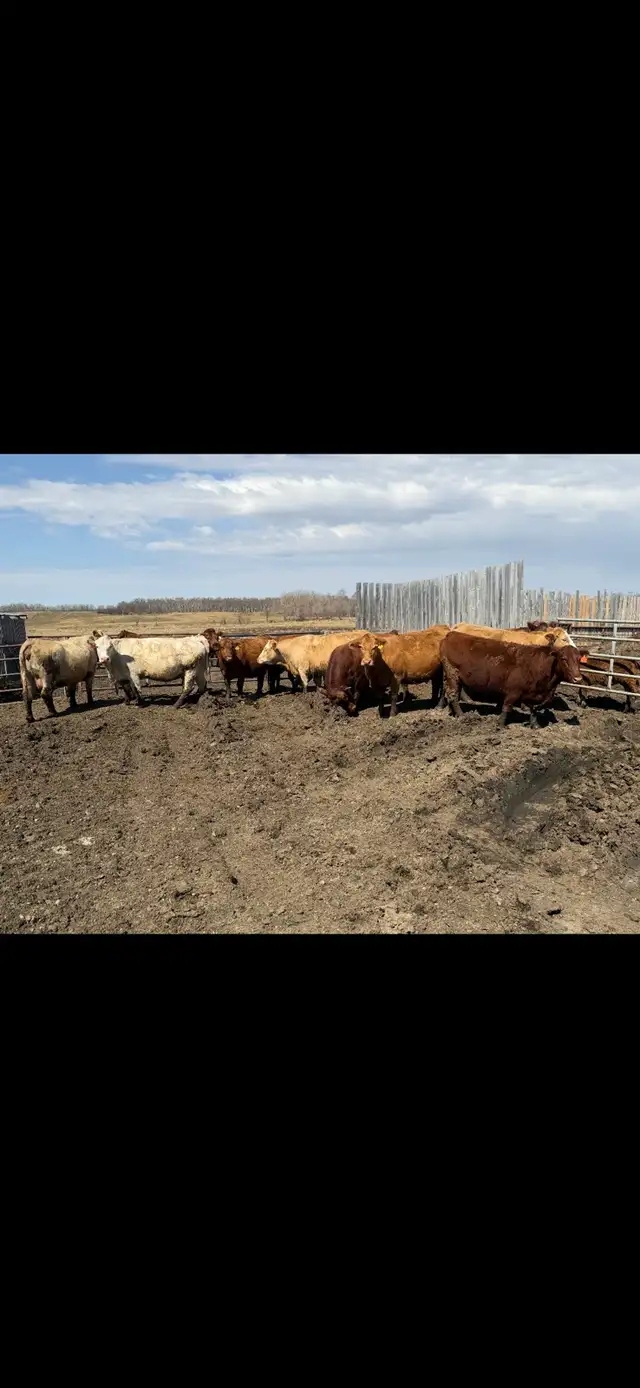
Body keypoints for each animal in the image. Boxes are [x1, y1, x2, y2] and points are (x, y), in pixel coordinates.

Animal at [440, 630, 585, 728]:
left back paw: (451, 712)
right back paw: (462, 715)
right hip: (452, 674)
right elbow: (507, 706)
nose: (578, 679)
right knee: (453, 695)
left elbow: (534, 709)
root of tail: (451, 635)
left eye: (579, 659)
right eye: (564, 659)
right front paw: (501, 724)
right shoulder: (514, 690)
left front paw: (535, 725)